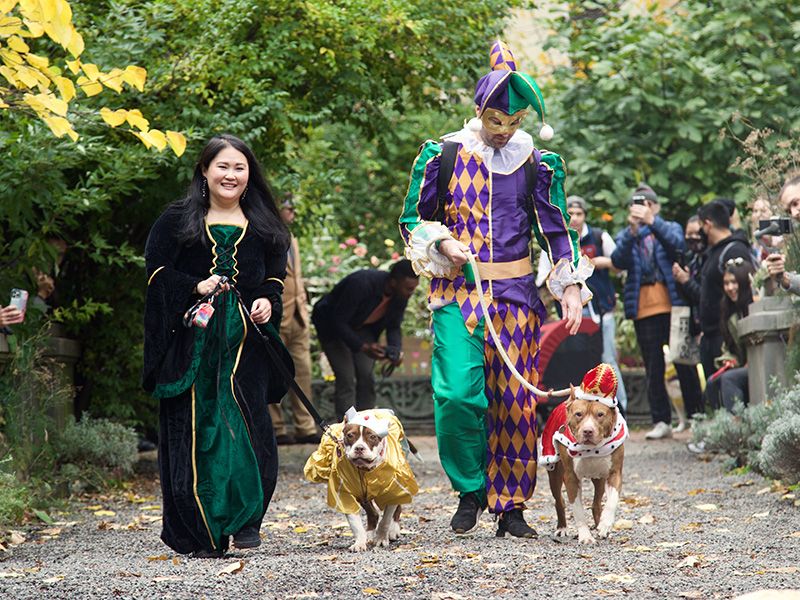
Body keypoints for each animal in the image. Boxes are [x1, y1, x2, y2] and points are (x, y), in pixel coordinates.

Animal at [304, 408, 422, 552]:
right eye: (350, 435)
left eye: (372, 437)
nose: (359, 448)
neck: (365, 470)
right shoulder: (344, 495)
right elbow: (355, 524)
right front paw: (360, 543)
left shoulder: (393, 489)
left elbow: (386, 520)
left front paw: (381, 538)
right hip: (363, 496)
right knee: (373, 514)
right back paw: (370, 535)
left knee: (396, 508)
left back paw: (393, 530)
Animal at [536, 366, 632, 544]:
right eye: (578, 414)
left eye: (600, 414)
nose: (588, 431)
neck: (592, 449)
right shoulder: (571, 478)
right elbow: (578, 510)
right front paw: (585, 536)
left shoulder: (614, 473)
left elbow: (612, 501)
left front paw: (605, 524)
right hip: (554, 473)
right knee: (559, 501)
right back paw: (562, 528)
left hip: (599, 478)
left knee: (596, 504)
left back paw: (601, 526)